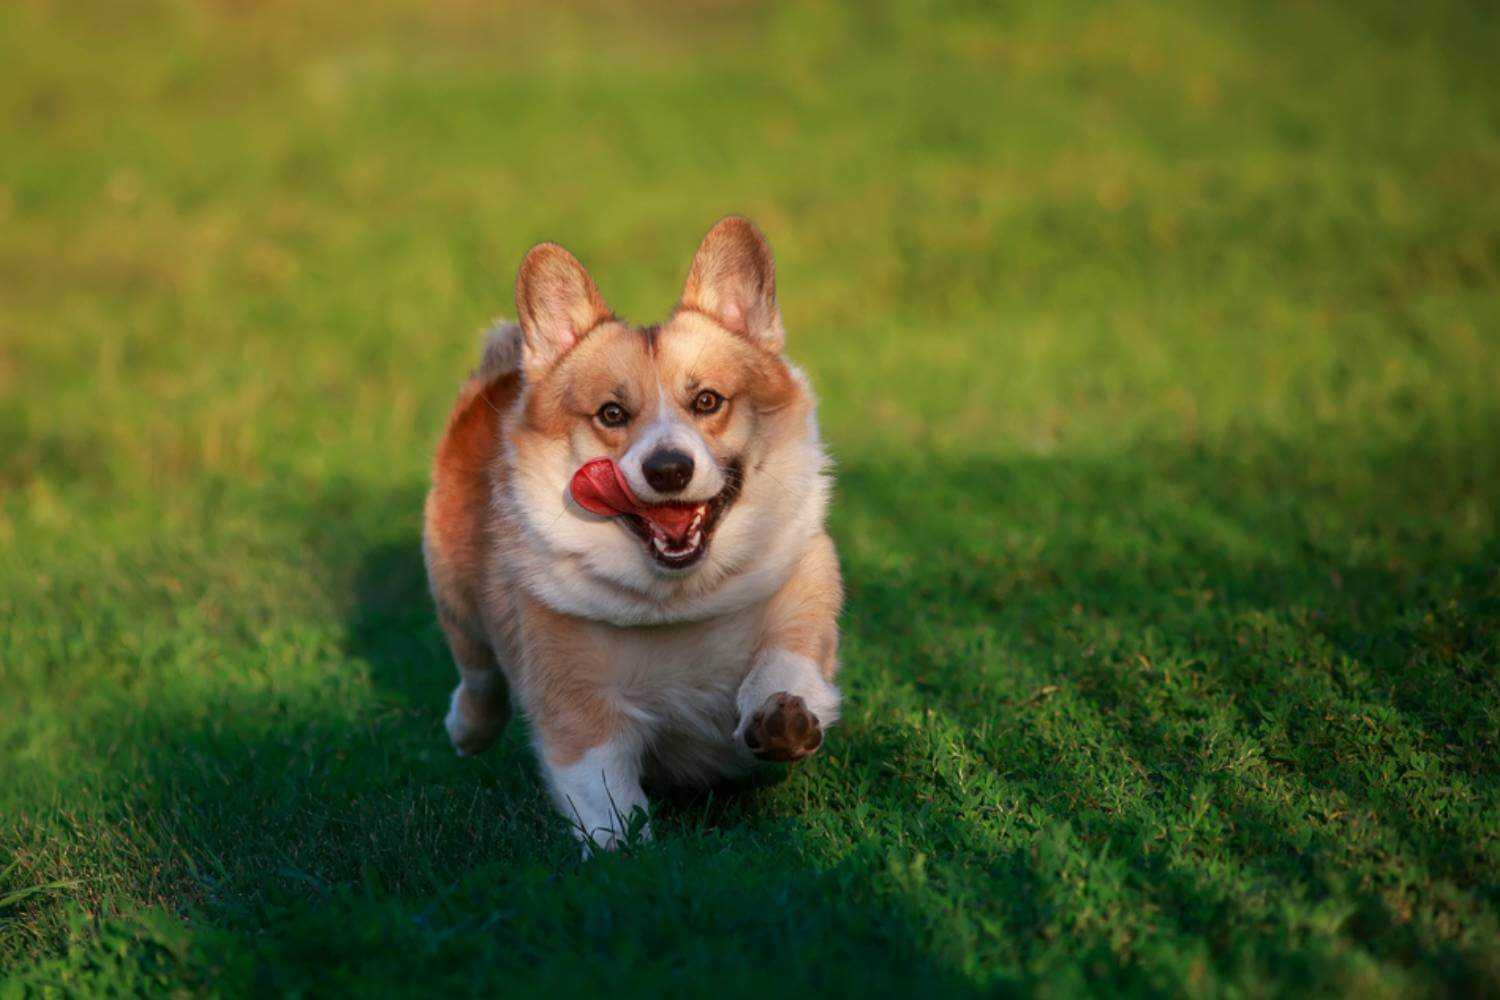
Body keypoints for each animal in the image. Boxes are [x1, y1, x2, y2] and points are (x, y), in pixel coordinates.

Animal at [423, 215, 846, 851]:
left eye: (707, 401)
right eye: (612, 415)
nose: (668, 469)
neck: (679, 599)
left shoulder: (803, 598)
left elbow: (785, 660)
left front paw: (782, 717)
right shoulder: (577, 705)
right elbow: (606, 796)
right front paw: (629, 855)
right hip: (454, 596)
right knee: (478, 674)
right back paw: (466, 729)